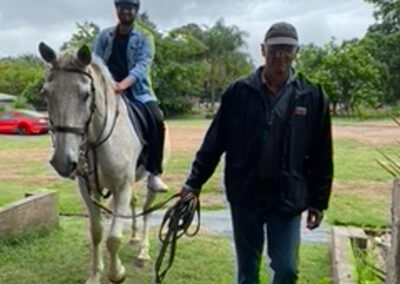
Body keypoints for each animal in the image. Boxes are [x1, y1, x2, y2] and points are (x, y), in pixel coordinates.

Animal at [39, 42, 158, 284]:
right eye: (46, 93)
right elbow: (96, 233)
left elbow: (113, 238)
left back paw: (143, 252)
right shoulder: (88, 189)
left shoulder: (121, 187)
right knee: (135, 203)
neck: (96, 141)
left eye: (86, 95)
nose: (63, 161)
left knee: (147, 209)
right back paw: (134, 237)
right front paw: (95, 274)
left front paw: (117, 272)